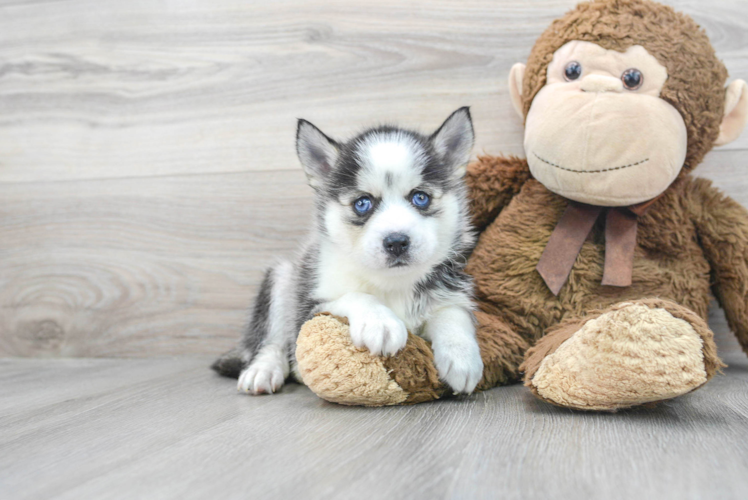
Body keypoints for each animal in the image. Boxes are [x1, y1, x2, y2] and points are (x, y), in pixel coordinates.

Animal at [213, 107, 486, 396]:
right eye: (362, 203)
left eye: (420, 197)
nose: (397, 242)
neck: (392, 284)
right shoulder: (310, 308)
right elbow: (355, 296)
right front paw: (381, 322)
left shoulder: (451, 288)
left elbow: (453, 312)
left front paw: (461, 357)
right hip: (283, 277)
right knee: (271, 341)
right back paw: (263, 370)